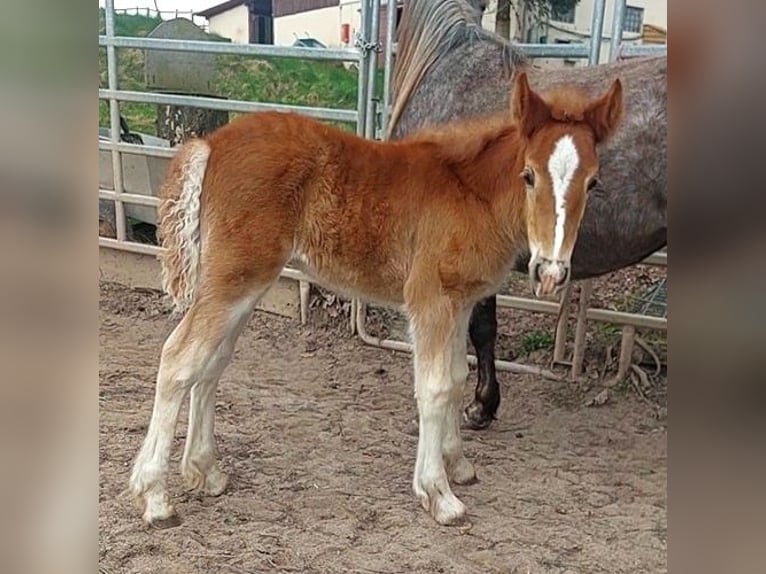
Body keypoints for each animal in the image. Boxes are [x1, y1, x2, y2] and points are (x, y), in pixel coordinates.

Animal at [130, 74, 624, 528]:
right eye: (529, 174)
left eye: (593, 182)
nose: (551, 272)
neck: (470, 192)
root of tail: (210, 144)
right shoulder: (430, 299)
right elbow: (435, 388)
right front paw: (437, 494)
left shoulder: (462, 302)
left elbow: (458, 377)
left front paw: (457, 464)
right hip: (234, 279)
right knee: (179, 360)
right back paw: (155, 497)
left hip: (241, 284)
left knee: (211, 364)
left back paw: (206, 472)